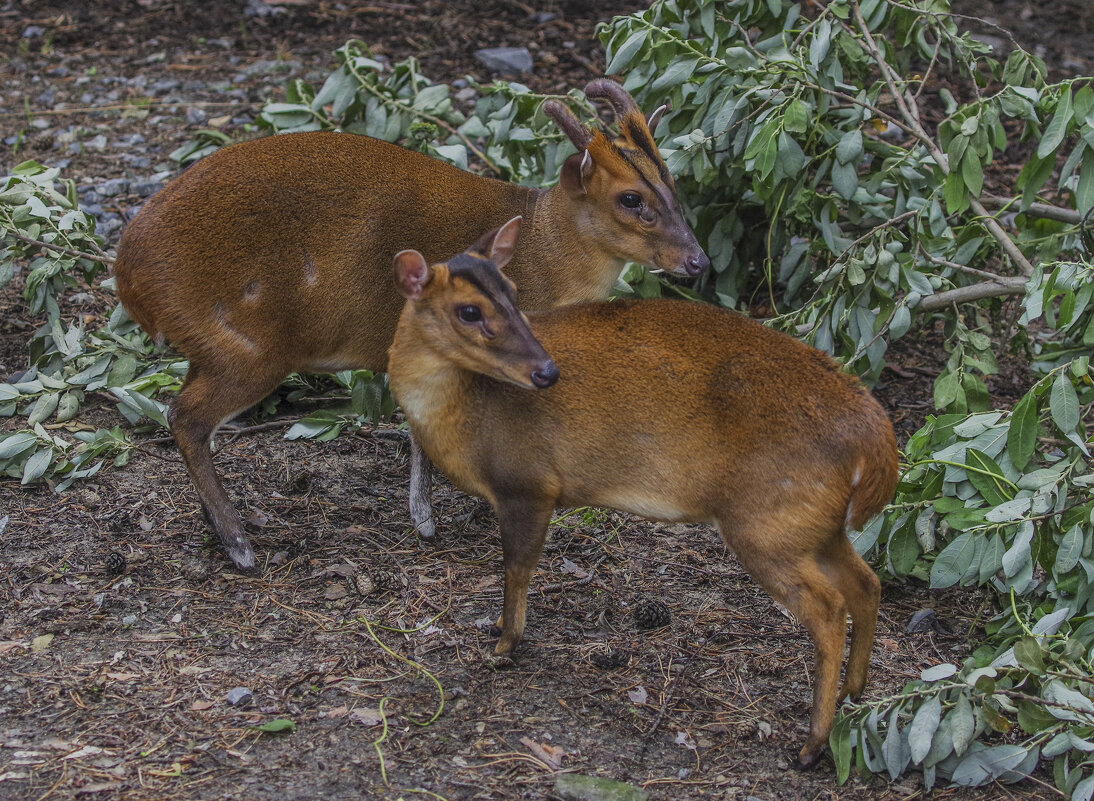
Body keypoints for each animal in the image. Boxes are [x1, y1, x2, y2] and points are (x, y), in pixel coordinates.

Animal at [113, 79, 708, 569]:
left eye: (674, 186)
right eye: (630, 198)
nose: (698, 261)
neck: (543, 254)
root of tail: (128, 276)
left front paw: (424, 515)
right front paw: (440, 515)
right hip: (245, 348)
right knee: (186, 418)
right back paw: (238, 542)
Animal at [385, 221, 897, 770]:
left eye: (515, 294)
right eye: (469, 310)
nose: (546, 371)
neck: (464, 415)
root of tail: (876, 440)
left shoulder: (529, 484)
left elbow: (517, 571)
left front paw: (504, 644)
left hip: (766, 523)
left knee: (828, 610)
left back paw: (811, 744)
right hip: (814, 525)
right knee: (867, 584)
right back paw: (855, 693)